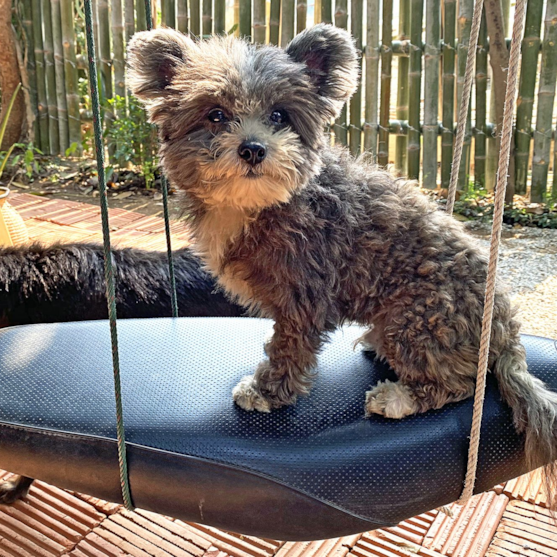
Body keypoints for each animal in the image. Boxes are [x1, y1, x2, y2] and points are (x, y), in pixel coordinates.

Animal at [127, 21, 557, 502]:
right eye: (216, 114)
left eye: (280, 115)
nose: (253, 149)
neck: (256, 205)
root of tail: (506, 328)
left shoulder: (303, 297)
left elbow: (287, 351)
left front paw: (267, 392)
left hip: (418, 319)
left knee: (461, 385)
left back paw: (397, 398)